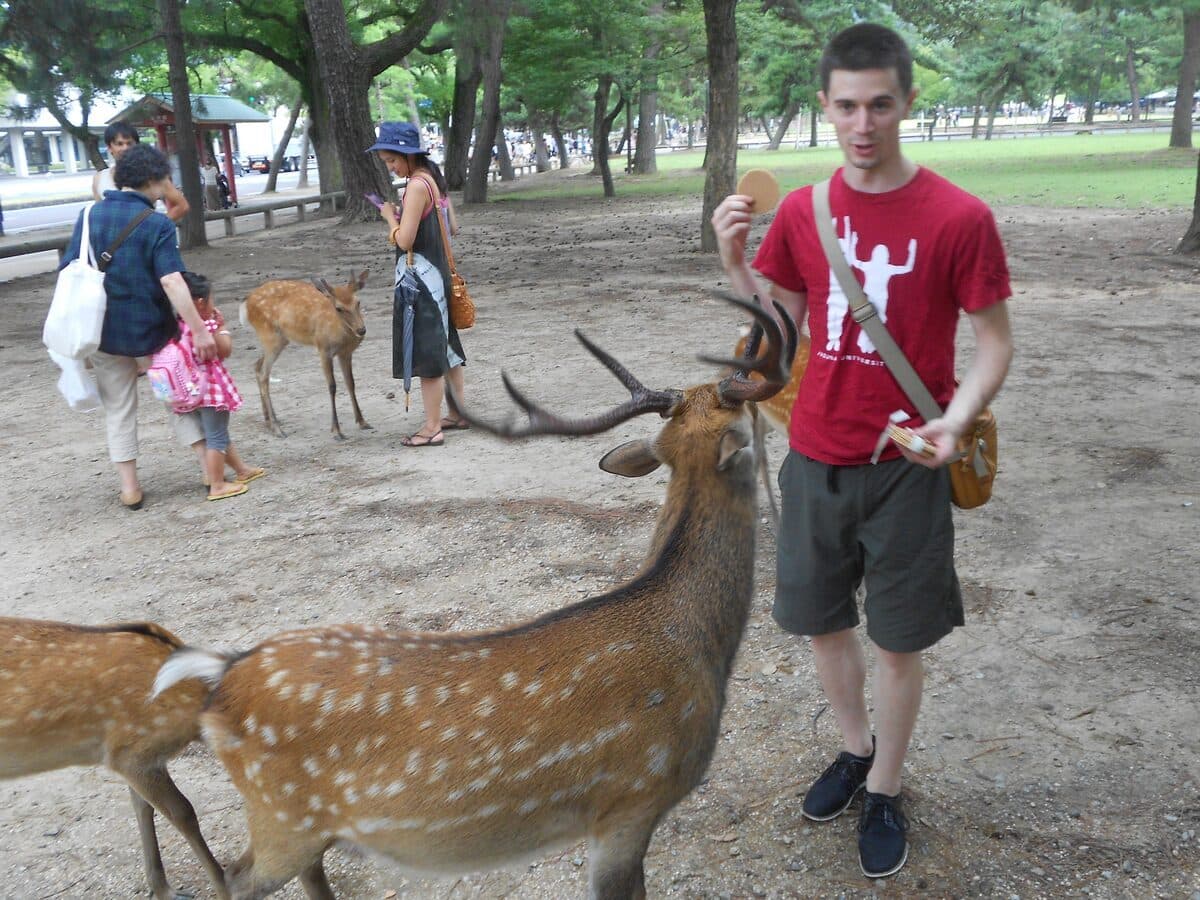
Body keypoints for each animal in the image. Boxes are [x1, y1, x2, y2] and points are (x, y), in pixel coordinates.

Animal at [0, 618, 228, 900]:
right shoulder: (130, 753)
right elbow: (183, 813)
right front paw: (224, 888)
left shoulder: (140, 759)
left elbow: (143, 807)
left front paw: (163, 889)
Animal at [152, 292, 796, 900]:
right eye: (754, 422)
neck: (699, 645)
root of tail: (220, 678)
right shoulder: (630, 802)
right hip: (282, 816)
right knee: (234, 876)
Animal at [240, 271, 370, 440]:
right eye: (339, 308)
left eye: (358, 302)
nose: (361, 330)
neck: (341, 335)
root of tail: (246, 303)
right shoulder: (323, 348)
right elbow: (332, 386)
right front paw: (336, 430)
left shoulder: (346, 353)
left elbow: (351, 383)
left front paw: (362, 421)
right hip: (270, 336)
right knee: (263, 374)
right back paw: (277, 428)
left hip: (279, 340)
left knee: (257, 365)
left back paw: (269, 422)